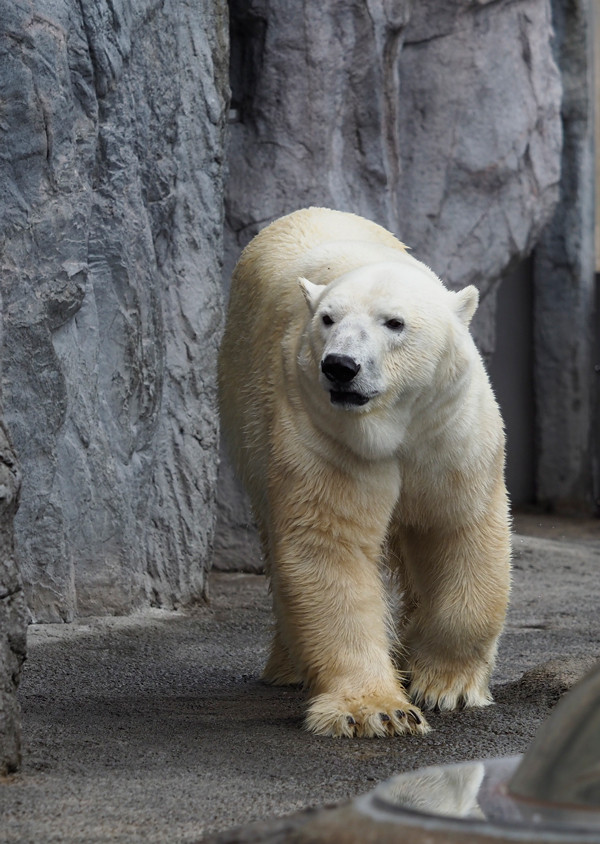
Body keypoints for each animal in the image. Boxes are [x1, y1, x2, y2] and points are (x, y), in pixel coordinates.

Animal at [220, 208, 510, 736]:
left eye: (394, 322)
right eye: (328, 319)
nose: (340, 366)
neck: (393, 420)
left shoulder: (450, 427)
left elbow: (457, 525)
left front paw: (447, 686)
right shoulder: (323, 431)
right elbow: (329, 542)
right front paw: (377, 710)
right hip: (243, 402)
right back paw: (289, 666)